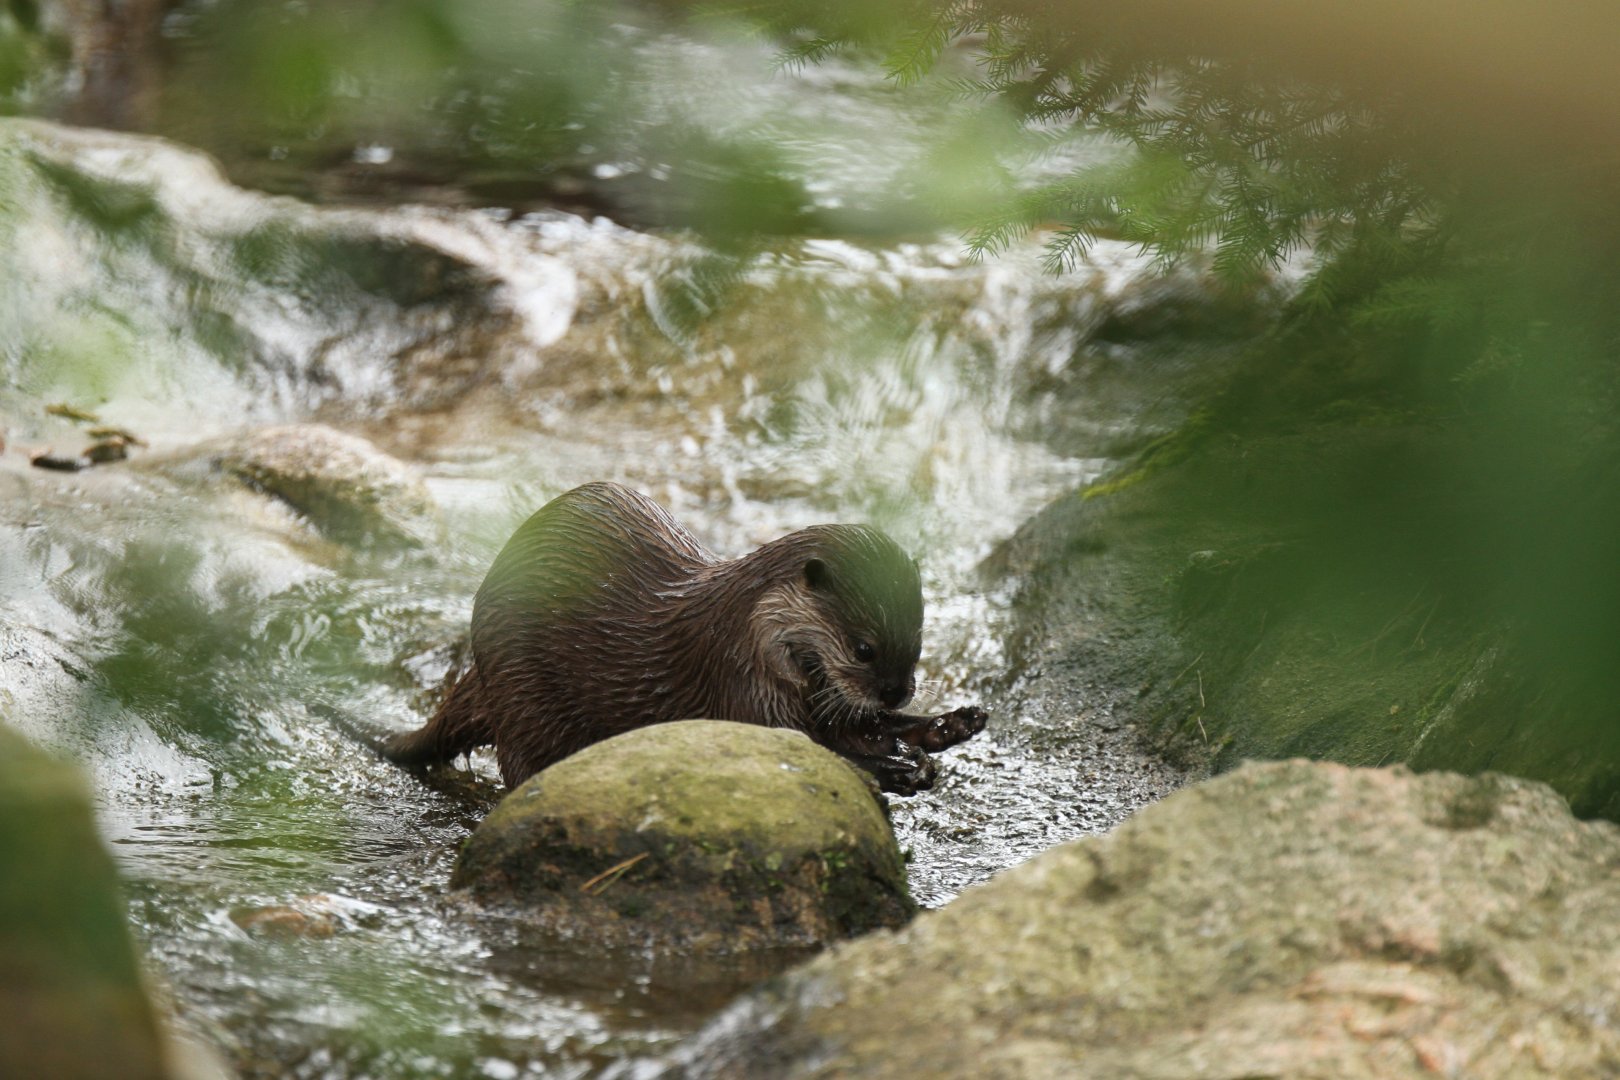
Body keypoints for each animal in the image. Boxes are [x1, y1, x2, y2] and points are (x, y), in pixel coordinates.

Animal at [384, 482, 986, 794]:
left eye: (918, 641)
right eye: (864, 647)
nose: (897, 691)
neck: (746, 628)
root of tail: (481, 670)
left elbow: (862, 728)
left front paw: (949, 725)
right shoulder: (743, 682)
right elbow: (812, 749)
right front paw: (897, 768)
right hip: (524, 700)